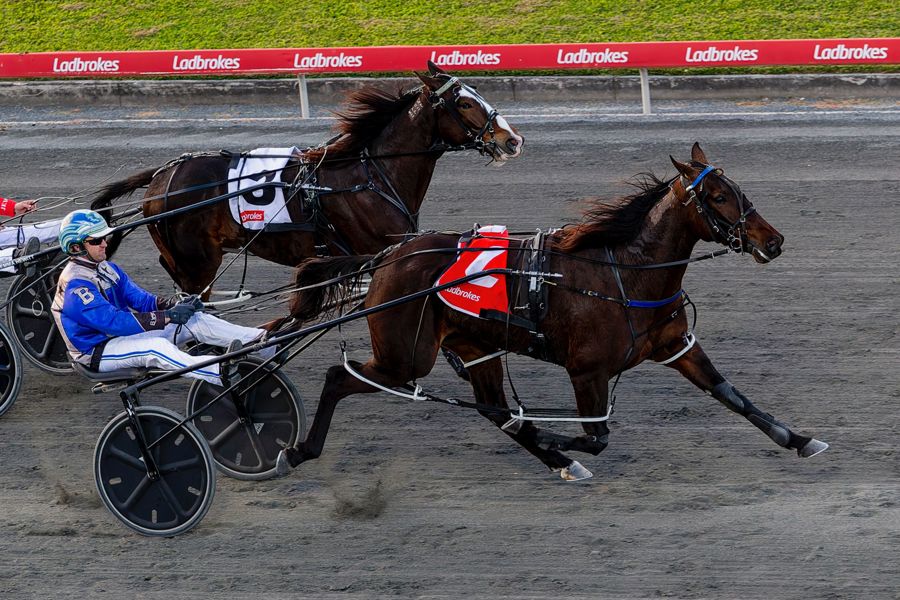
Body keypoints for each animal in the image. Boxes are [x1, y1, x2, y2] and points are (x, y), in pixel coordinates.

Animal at [274, 142, 828, 481]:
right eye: (716, 195)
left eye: (738, 189)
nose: (773, 241)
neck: (625, 272)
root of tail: (387, 256)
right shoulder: (587, 370)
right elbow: (596, 436)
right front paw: (553, 434)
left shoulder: (676, 345)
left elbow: (732, 396)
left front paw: (799, 439)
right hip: (405, 356)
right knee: (337, 376)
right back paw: (297, 449)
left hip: (475, 346)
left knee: (496, 410)